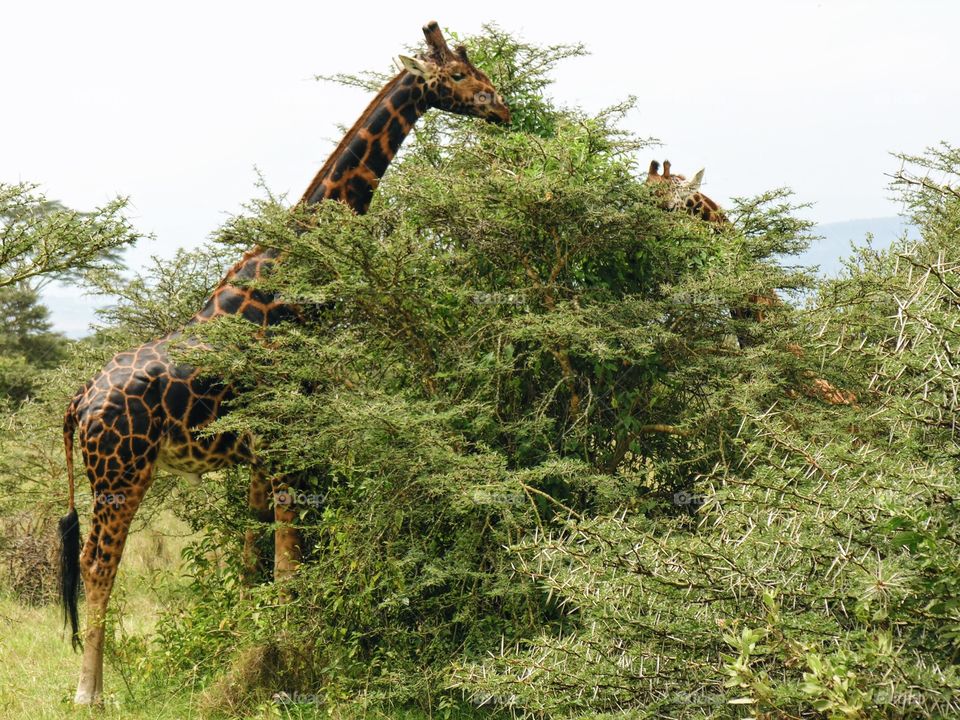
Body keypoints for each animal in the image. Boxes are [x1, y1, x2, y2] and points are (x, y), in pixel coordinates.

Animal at [57, 21, 510, 704]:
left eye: (476, 69)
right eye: (457, 75)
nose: (502, 107)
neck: (290, 280)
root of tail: (81, 398)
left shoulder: (260, 447)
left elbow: (256, 561)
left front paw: (250, 647)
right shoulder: (291, 435)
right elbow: (292, 561)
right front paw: (293, 656)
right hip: (120, 470)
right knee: (96, 565)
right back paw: (91, 693)